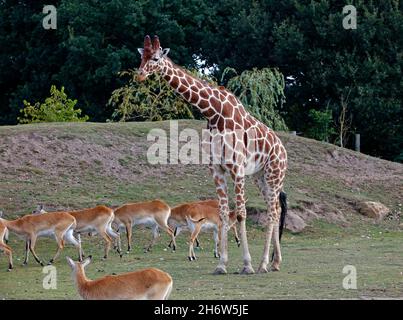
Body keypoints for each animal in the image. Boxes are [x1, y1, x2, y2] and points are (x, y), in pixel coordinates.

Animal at [137, 35, 288, 276]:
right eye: (141, 56)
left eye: (156, 58)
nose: (140, 74)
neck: (214, 113)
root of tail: (282, 148)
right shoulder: (217, 169)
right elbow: (224, 213)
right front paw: (221, 264)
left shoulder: (237, 169)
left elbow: (241, 213)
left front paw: (247, 265)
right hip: (260, 177)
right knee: (275, 208)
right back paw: (275, 262)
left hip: (274, 173)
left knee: (273, 212)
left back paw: (263, 264)